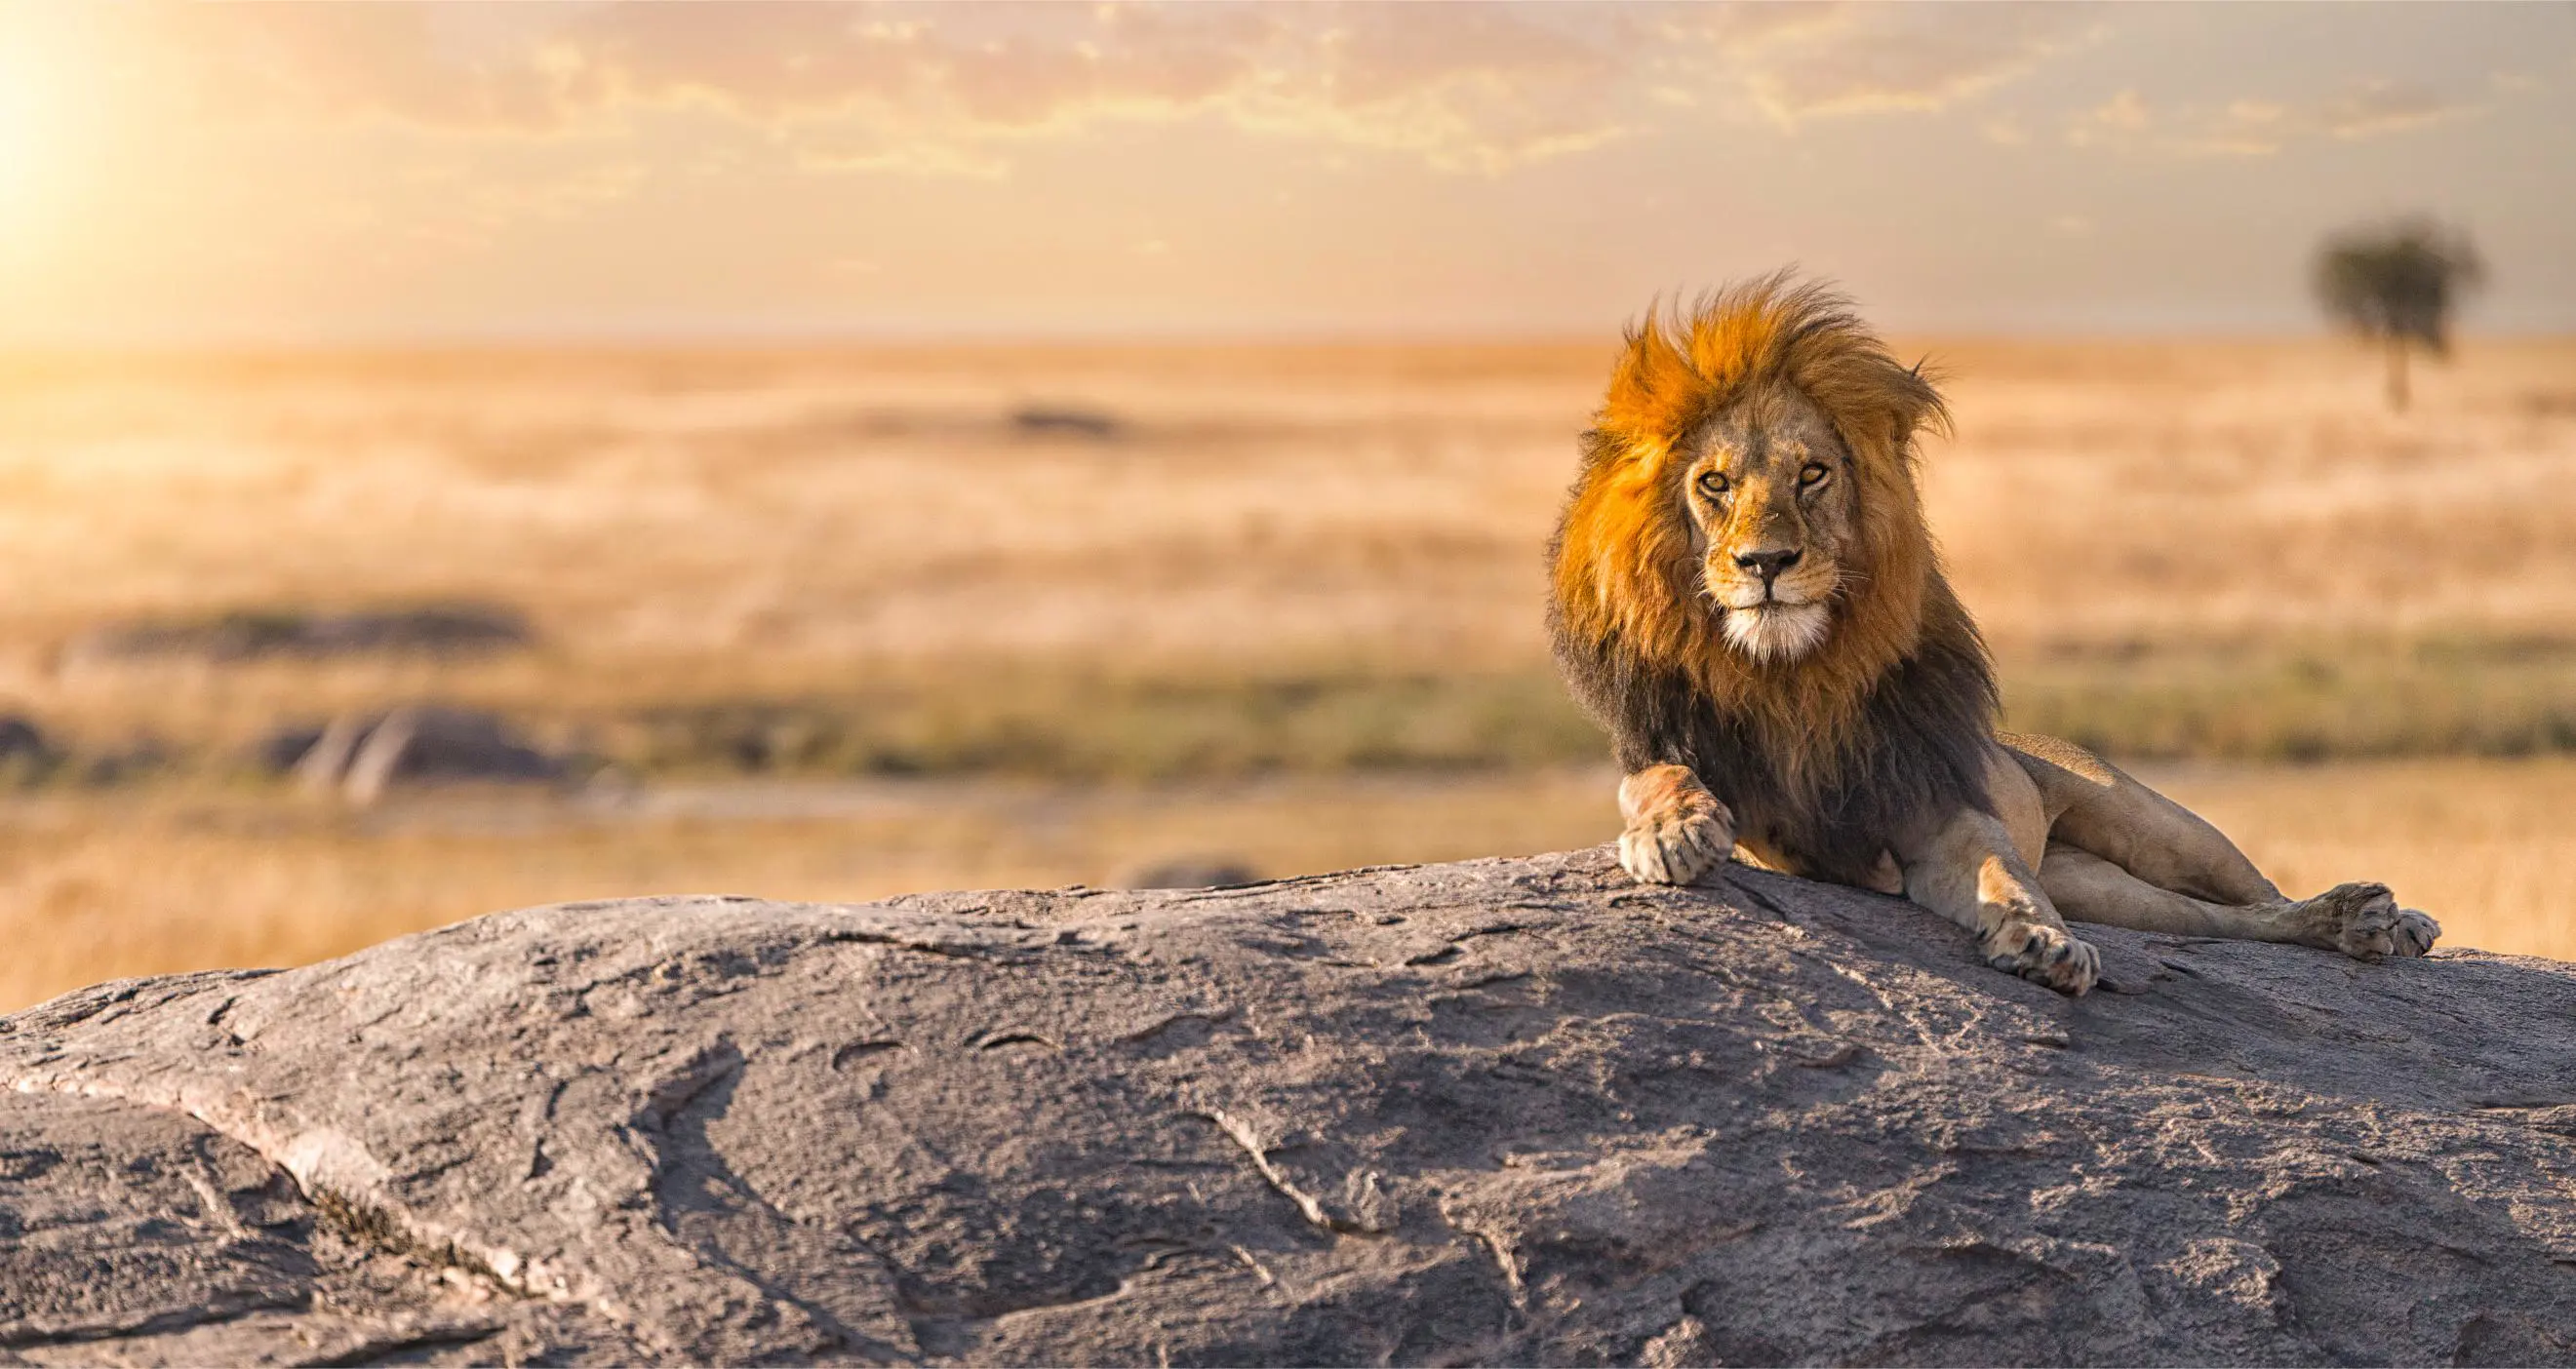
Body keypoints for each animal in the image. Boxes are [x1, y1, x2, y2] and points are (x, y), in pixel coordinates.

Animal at [1547, 273, 2439, 995]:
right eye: (1714, 484)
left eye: (1812, 473)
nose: (1765, 562)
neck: (1792, 674)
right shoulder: (1706, 775)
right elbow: (1658, 778)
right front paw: (1672, 831)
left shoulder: (1936, 805)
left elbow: (2000, 874)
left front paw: (2043, 942)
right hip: (2106, 888)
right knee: (2213, 923)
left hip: (2156, 826)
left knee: (2255, 897)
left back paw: (2379, 919)